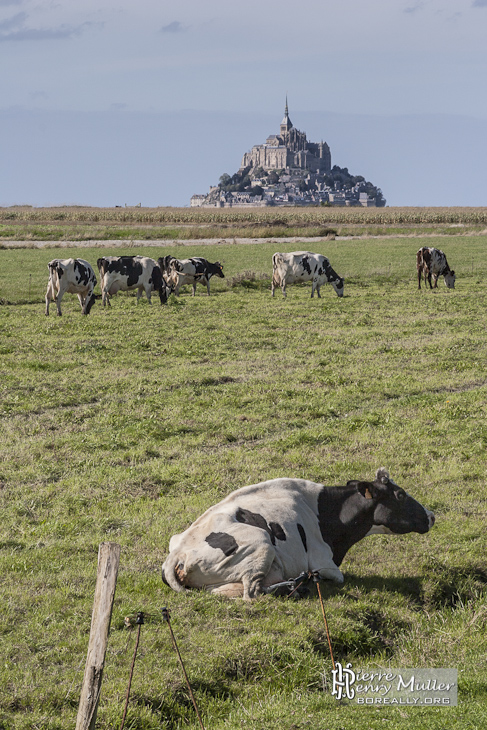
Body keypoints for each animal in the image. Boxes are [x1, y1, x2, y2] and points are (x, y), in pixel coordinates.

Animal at [161, 468, 434, 600]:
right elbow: (337, 577)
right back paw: (294, 587)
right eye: (401, 495)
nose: (431, 515)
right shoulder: (324, 563)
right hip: (261, 542)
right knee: (252, 593)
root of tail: (178, 553)